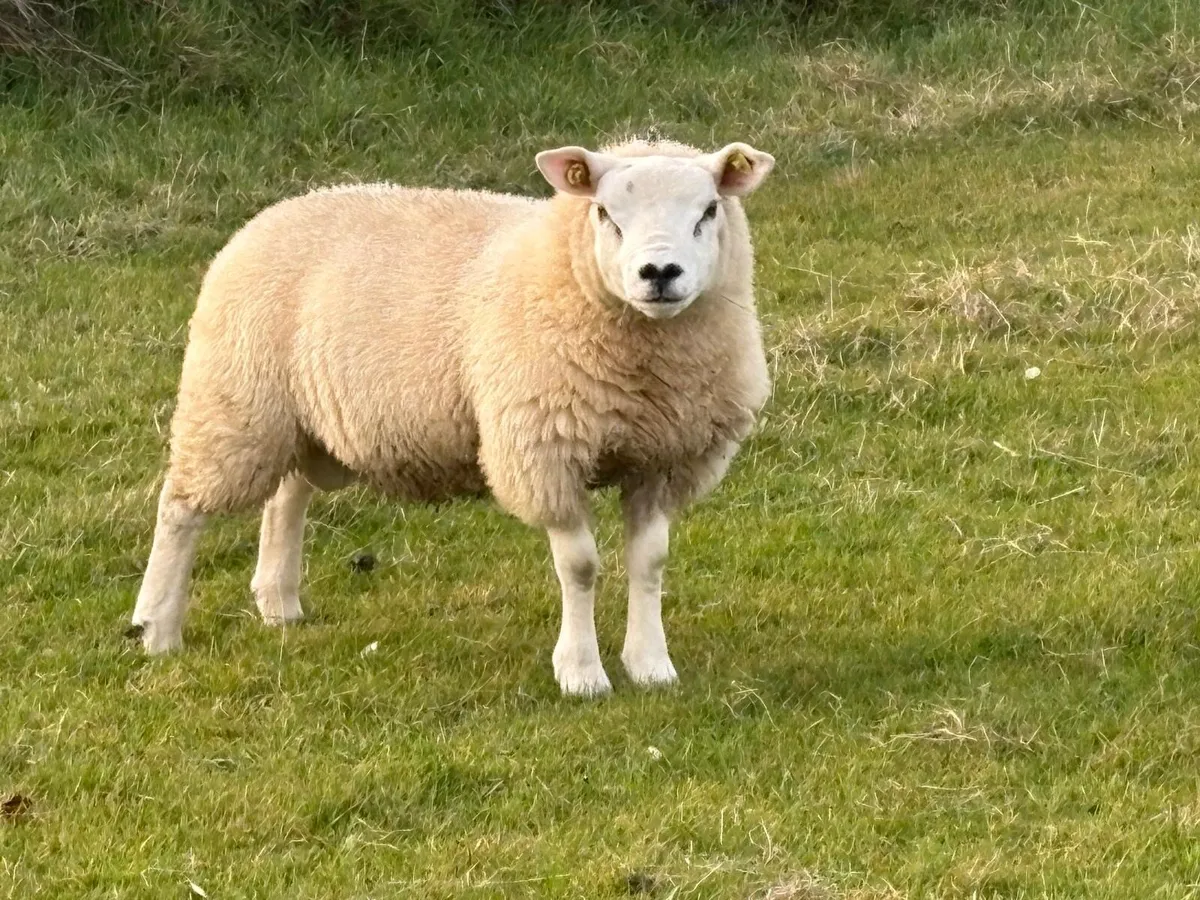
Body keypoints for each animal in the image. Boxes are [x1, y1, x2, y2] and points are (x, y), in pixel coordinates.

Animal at [130, 138, 774, 696]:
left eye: (709, 210)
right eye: (604, 213)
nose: (659, 273)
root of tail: (271, 214)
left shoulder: (666, 456)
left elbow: (650, 562)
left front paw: (651, 665)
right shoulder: (543, 450)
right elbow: (581, 567)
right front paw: (581, 674)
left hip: (304, 420)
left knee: (287, 496)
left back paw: (278, 603)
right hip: (235, 405)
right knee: (180, 508)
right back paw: (158, 628)